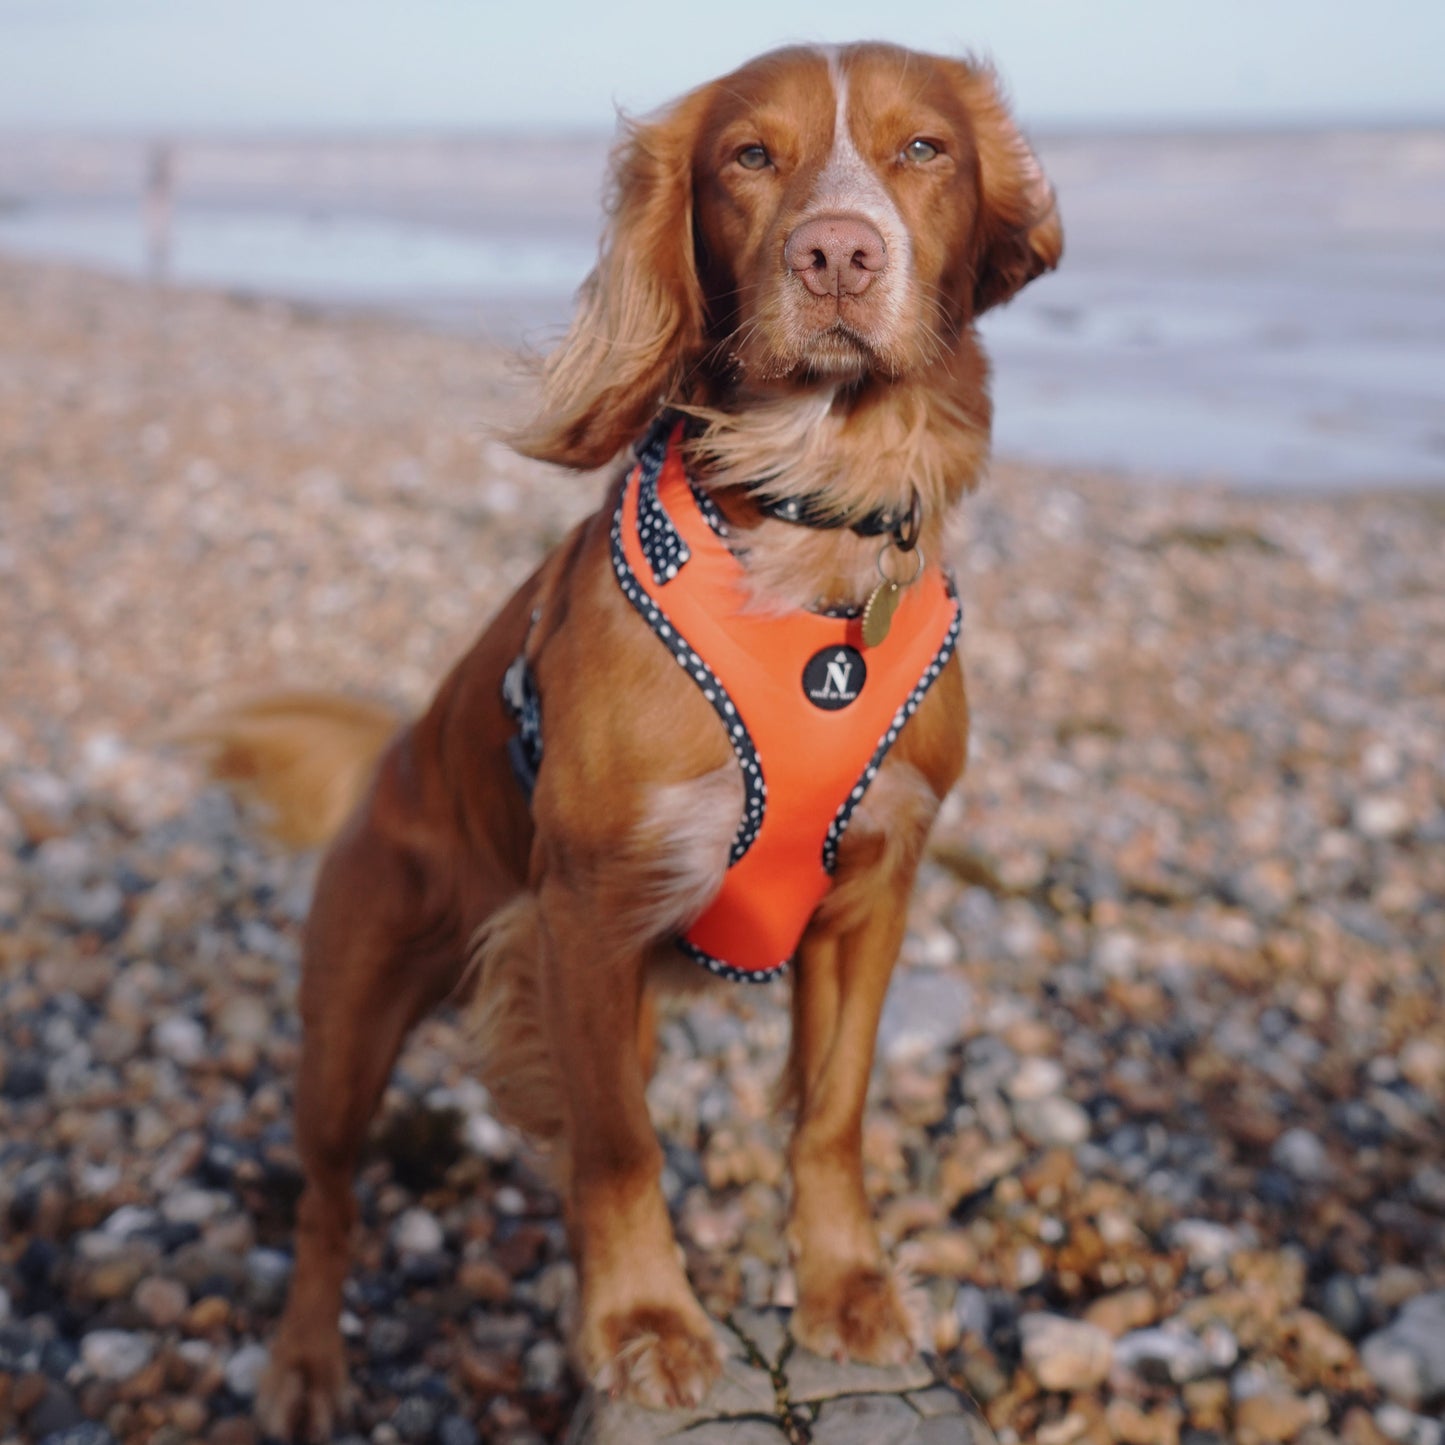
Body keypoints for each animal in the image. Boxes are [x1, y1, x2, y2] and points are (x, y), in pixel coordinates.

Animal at [192, 39, 1063, 1439]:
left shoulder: (874, 886)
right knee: (328, 1200)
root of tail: (388, 759)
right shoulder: (587, 913)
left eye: (924, 149)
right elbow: (617, 1145)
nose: (835, 254)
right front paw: (645, 1321)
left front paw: (846, 1285)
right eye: (748, 157)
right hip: (347, 1025)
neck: (809, 528)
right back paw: (306, 1363)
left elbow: (830, 1113)